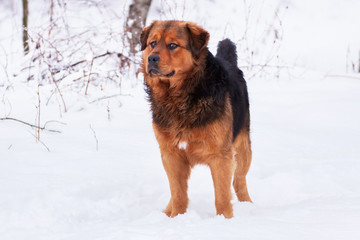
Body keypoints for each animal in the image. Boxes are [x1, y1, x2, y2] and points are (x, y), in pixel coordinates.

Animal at [140, 21, 250, 218]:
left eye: (172, 45)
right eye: (152, 43)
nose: (151, 59)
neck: (178, 99)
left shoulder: (221, 155)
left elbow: (222, 196)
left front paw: (225, 219)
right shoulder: (170, 154)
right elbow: (178, 194)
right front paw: (176, 217)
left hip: (243, 146)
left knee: (239, 181)